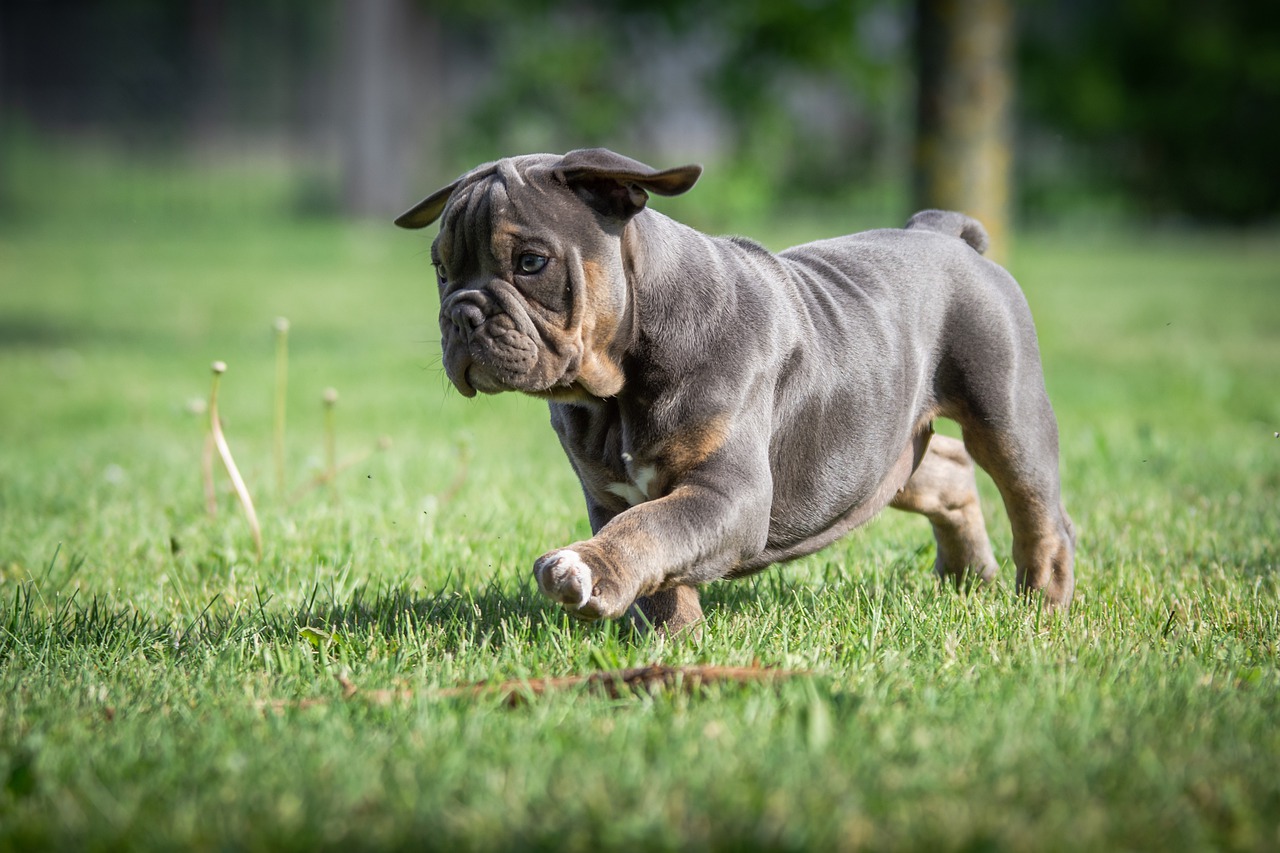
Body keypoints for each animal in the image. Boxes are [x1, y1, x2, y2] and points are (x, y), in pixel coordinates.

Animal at [394, 149, 1075, 635]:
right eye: (440, 270)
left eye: (531, 262)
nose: (461, 314)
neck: (617, 389)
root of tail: (940, 230)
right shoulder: (610, 497)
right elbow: (662, 565)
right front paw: (677, 646)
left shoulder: (725, 495)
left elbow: (653, 528)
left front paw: (589, 572)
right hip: (875, 454)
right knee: (947, 472)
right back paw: (968, 576)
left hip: (1007, 415)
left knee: (1039, 514)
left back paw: (1040, 609)